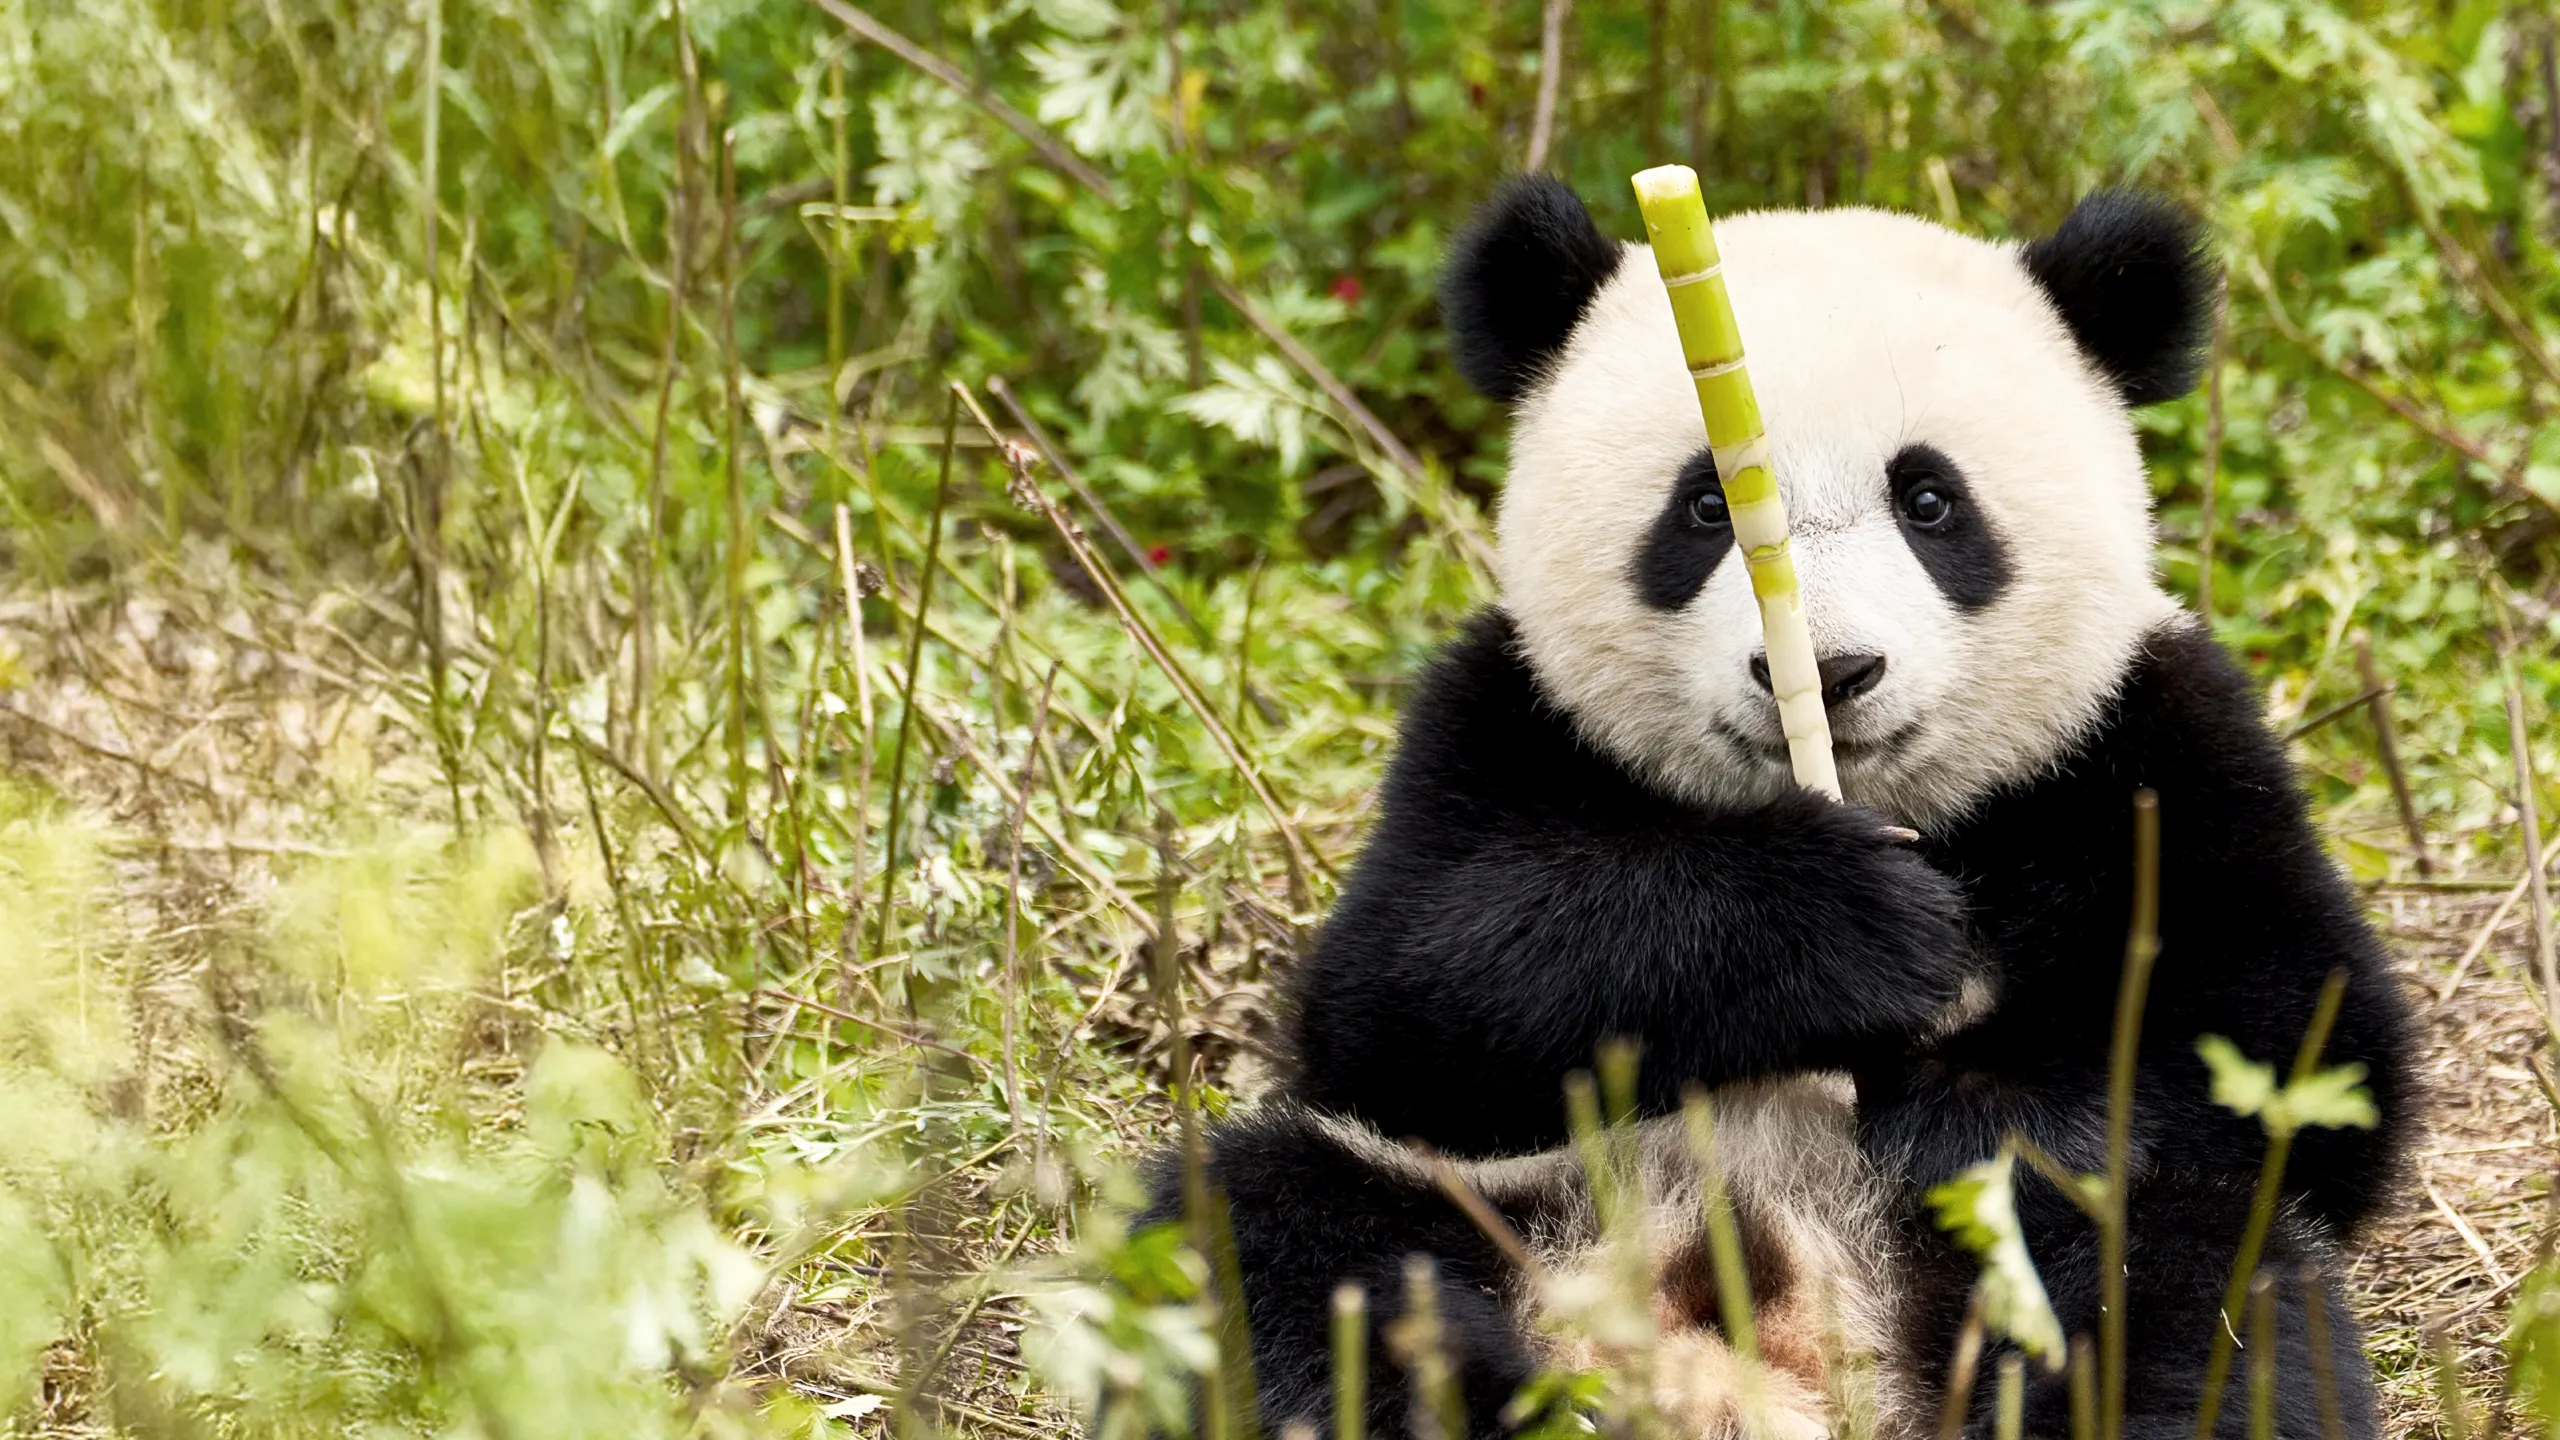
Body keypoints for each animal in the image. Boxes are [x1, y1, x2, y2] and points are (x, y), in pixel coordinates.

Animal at [1145, 178, 2415, 1440]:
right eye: (1704, 507)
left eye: (1929, 501)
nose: (1832, 672)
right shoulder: (1499, 723)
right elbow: (1404, 994)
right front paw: (1850, 926)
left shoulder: (2147, 736)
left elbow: (2295, 1028)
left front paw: (1954, 1106)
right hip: (1498, 1201)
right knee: (1272, 1244)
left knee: (2192, 1303)